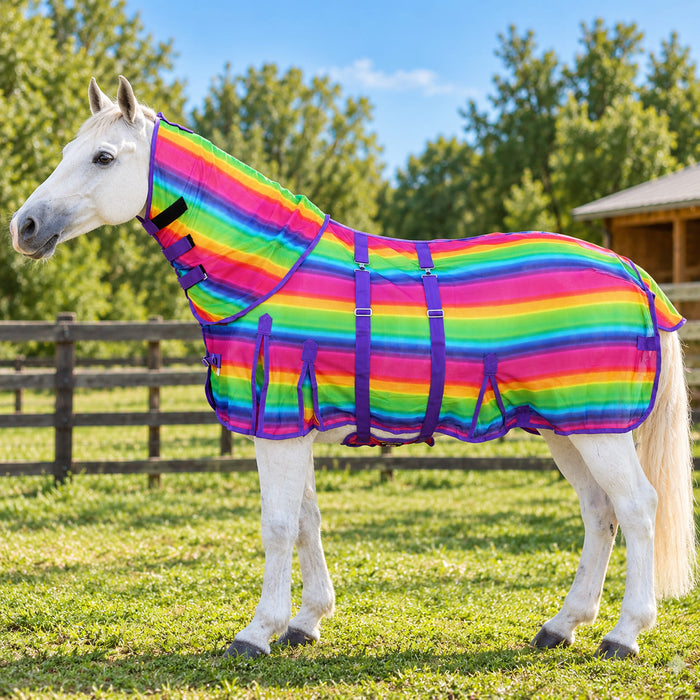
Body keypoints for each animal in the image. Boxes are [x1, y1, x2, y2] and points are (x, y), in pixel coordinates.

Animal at [10, 76, 696, 660]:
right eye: (69, 150)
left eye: (103, 157)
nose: (24, 226)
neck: (270, 272)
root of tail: (637, 276)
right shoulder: (292, 428)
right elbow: (306, 521)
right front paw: (305, 621)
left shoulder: (278, 427)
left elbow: (277, 525)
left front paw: (257, 632)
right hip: (567, 429)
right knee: (600, 514)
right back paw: (562, 625)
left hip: (598, 429)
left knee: (637, 508)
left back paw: (624, 634)